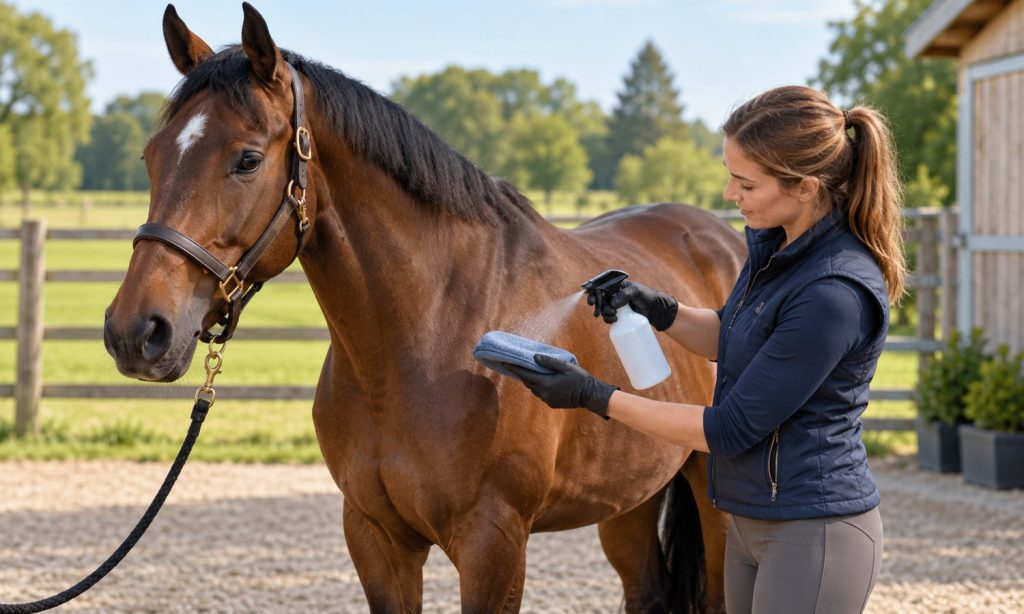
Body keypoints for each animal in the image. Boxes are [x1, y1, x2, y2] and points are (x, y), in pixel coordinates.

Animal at [103, 4, 746, 612]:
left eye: (247, 159)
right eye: (150, 156)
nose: (136, 332)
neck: (422, 341)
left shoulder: (493, 544)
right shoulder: (376, 537)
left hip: (714, 499)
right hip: (629, 498)